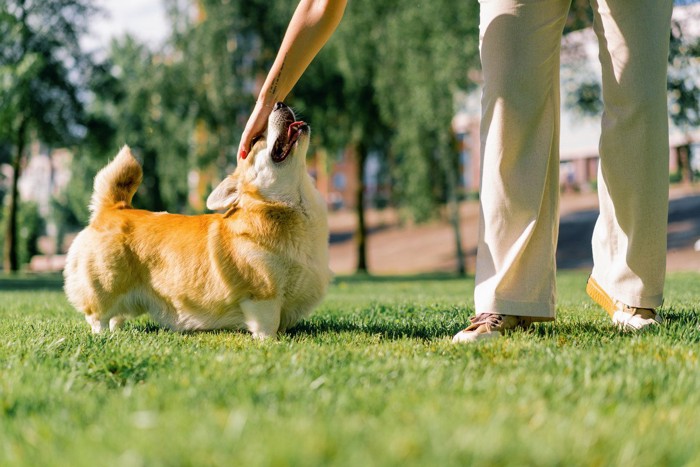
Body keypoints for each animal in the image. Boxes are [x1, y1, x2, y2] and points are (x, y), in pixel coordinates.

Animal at [63, 102, 330, 338]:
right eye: (255, 141)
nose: (279, 103)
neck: (295, 207)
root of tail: (113, 208)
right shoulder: (263, 295)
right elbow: (268, 326)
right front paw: (270, 343)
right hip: (105, 285)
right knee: (98, 317)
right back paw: (102, 337)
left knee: (116, 317)